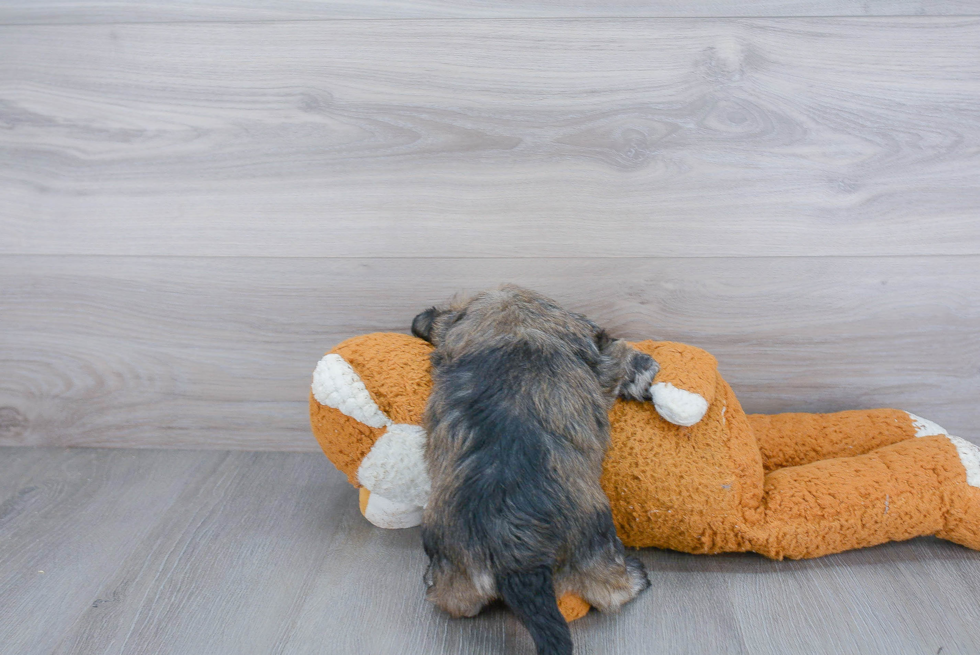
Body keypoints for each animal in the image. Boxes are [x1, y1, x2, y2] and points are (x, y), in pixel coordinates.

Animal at [412, 288, 660, 655]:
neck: (514, 324)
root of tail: (517, 559)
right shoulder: (600, 360)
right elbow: (619, 353)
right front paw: (643, 367)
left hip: (455, 568)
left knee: (454, 600)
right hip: (597, 545)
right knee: (611, 591)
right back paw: (636, 578)